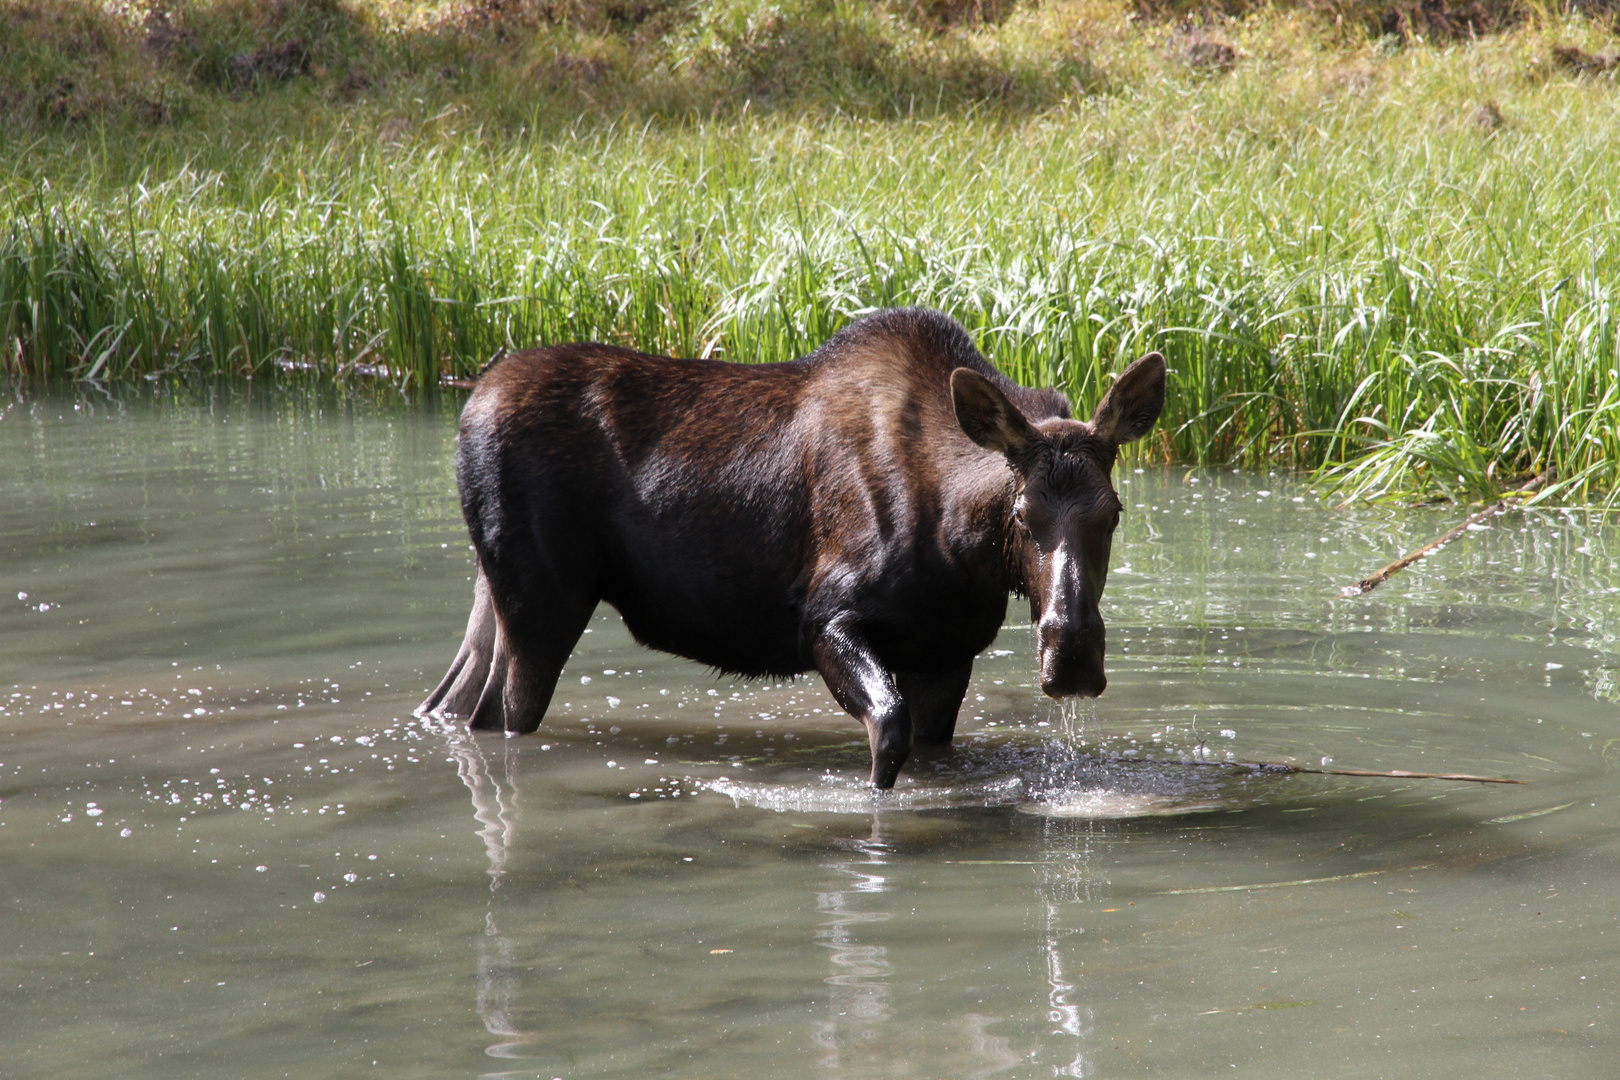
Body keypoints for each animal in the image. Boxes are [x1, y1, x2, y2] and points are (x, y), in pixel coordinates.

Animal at [421, 307, 1166, 790]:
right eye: (1021, 513)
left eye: (1113, 512)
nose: (1072, 654)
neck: (964, 550)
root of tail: (469, 406)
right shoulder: (824, 617)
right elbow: (886, 734)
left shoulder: (945, 654)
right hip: (543, 600)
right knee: (503, 713)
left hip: (496, 590)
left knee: (457, 702)